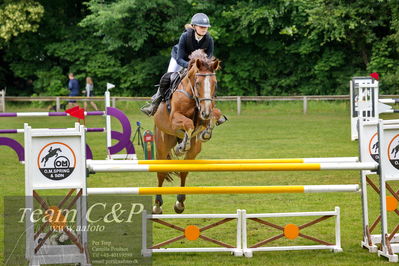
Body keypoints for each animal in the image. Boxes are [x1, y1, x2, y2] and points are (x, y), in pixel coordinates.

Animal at [152, 48, 222, 213]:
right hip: (162, 145)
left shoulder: (205, 113)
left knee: (184, 170)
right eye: (197, 83)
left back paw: (180, 203)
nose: (205, 112)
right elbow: (188, 124)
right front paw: (183, 145)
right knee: (161, 172)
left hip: (194, 151)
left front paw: (206, 133)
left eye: (215, 84)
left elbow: (215, 115)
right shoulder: (174, 119)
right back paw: (157, 205)